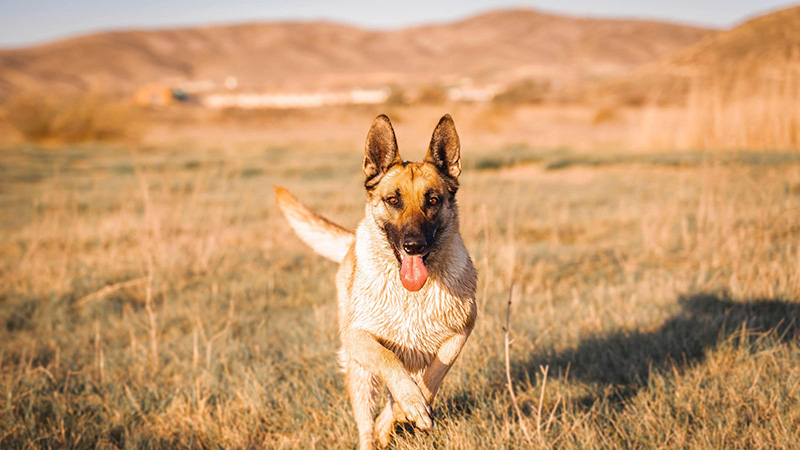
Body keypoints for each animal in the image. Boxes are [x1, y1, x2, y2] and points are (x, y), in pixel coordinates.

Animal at [276, 114, 476, 448]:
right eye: (393, 200)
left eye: (433, 200)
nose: (414, 246)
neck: (411, 294)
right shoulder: (359, 337)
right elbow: (389, 360)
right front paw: (411, 403)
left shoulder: (459, 334)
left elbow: (432, 376)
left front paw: (410, 408)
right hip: (359, 373)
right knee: (365, 424)